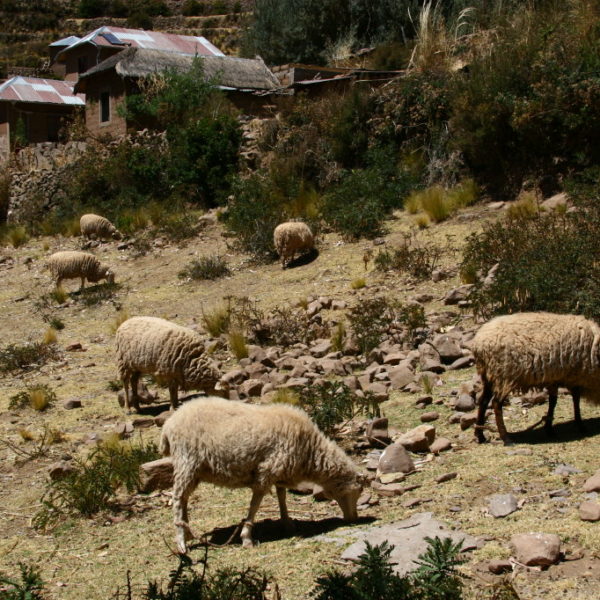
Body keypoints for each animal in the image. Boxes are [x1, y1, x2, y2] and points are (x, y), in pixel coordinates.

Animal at [159, 396, 364, 556]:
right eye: (358, 492)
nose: (354, 518)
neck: (310, 450)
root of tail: (169, 424)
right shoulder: (266, 472)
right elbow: (255, 505)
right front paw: (247, 538)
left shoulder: (281, 472)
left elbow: (282, 497)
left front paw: (287, 523)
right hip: (187, 461)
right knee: (178, 498)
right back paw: (181, 541)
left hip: (194, 470)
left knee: (184, 498)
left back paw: (187, 532)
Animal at [472, 312, 600, 442]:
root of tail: (478, 344)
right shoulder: (574, 376)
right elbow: (575, 400)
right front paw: (580, 425)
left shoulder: (554, 378)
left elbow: (553, 402)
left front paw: (549, 429)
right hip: (503, 375)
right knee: (496, 403)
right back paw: (506, 438)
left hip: (489, 375)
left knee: (483, 401)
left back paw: (480, 435)